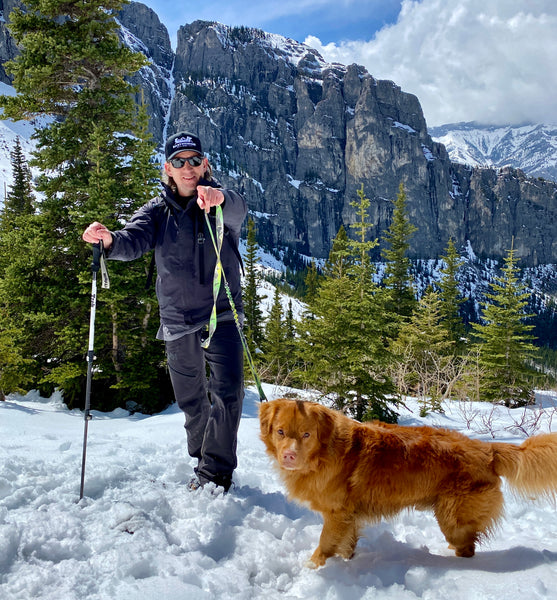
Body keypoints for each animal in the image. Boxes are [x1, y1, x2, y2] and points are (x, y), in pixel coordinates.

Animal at [258, 398, 556, 568]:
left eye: (307, 434)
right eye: (280, 431)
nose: (289, 455)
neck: (323, 454)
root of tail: (487, 449)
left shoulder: (337, 513)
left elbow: (326, 541)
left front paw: (313, 565)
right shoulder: (349, 516)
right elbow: (346, 543)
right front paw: (347, 562)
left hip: (452, 516)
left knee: (468, 547)